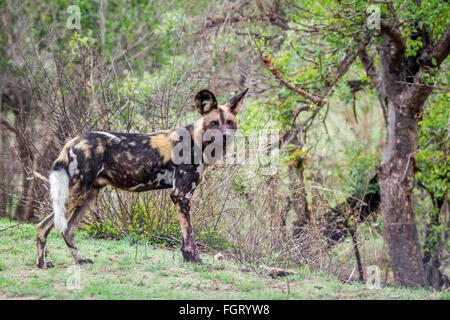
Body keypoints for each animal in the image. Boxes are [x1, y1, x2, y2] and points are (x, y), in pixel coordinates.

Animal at [37, 87, 250, 268]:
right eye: (214, 123)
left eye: (229, 123)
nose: (225, 137)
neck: (198, 141)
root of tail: (73, 141)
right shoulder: (181, 195)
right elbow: (189, 234)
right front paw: (194, 260)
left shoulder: (181, 197)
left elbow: (185, 234)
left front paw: (187, 258)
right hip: (75, 194)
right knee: (43, 226)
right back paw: (41, 264)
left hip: (88, 197)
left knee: (67, 230)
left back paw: (79, 260)